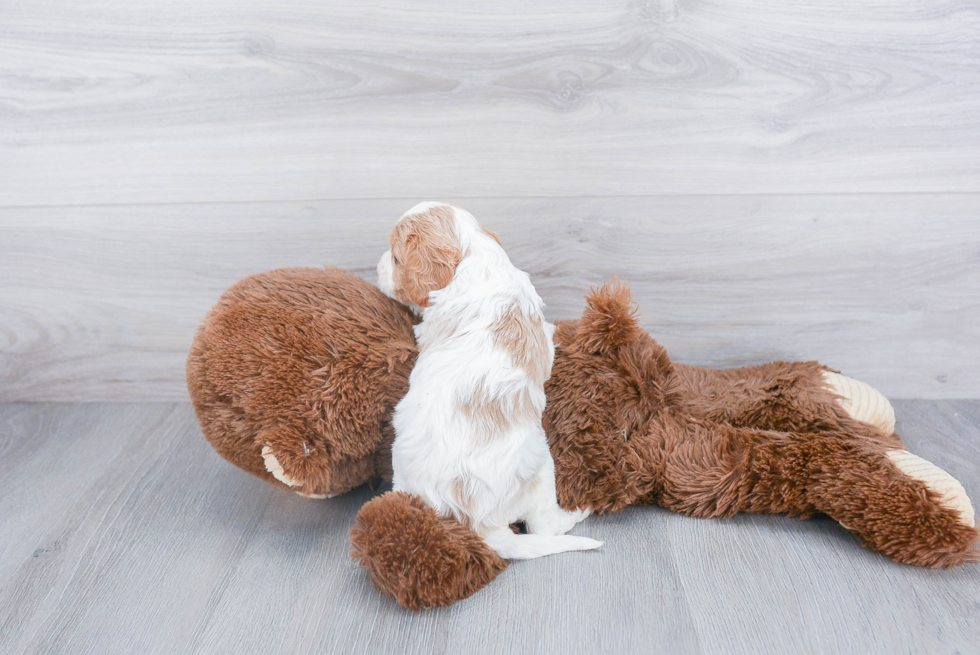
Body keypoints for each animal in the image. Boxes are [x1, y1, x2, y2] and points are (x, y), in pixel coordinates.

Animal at [378, 204, 600, 560]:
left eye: (396, 259)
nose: (378, 265)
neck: (474, 257)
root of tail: (478, 525)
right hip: (541, 468)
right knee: (544, 526)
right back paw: (576, 513)